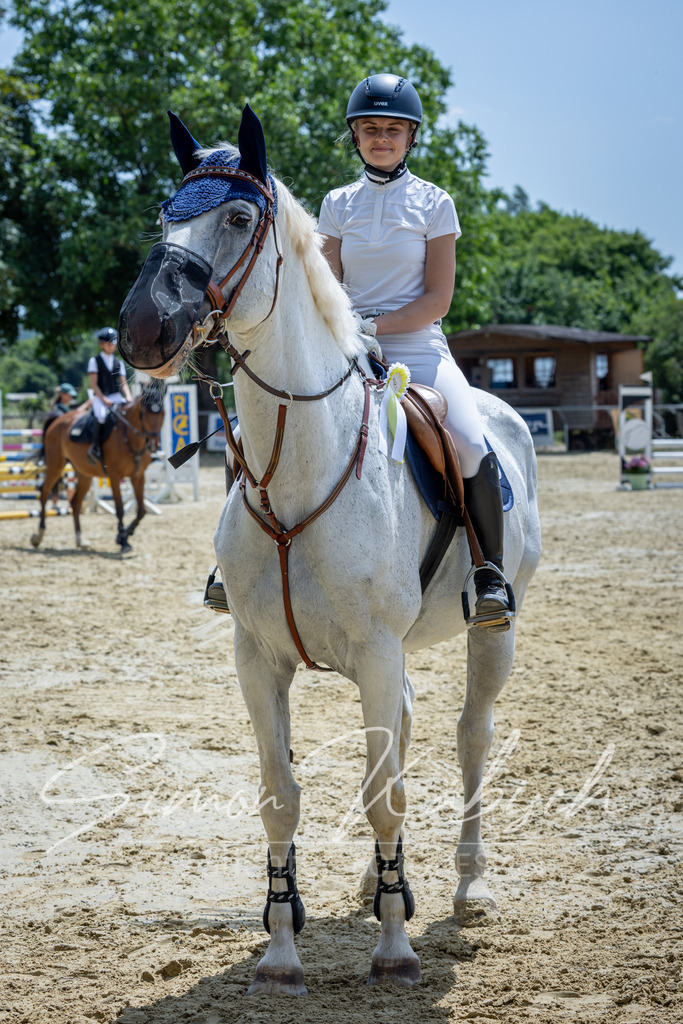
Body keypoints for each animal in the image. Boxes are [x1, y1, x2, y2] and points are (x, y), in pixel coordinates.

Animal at [30, 388, 164, 552]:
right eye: (144, 414)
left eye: (163, 413)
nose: (153, 444)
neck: (130, 437)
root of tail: (58, 419)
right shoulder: (114, 476)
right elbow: (119, 508)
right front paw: (122, 540)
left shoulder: (138, 476)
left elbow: (141, 510)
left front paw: (126, 534)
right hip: (56, 465)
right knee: (44, 492)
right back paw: (39, 535)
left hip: (84, 474)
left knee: (75, 502)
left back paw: (80, 540)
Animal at [118, 106, 541, 994]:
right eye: (165, 217)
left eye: (237, 219)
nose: (142, 328)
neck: (300, 465)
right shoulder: (258, 659)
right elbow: (281, 795)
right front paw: (282, 951)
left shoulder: (376, 653)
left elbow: (385, 794)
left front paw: (394, 951)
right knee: (410, 733)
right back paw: (383, 885)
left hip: (493, 632)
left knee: (470, 736)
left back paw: (468, 889)